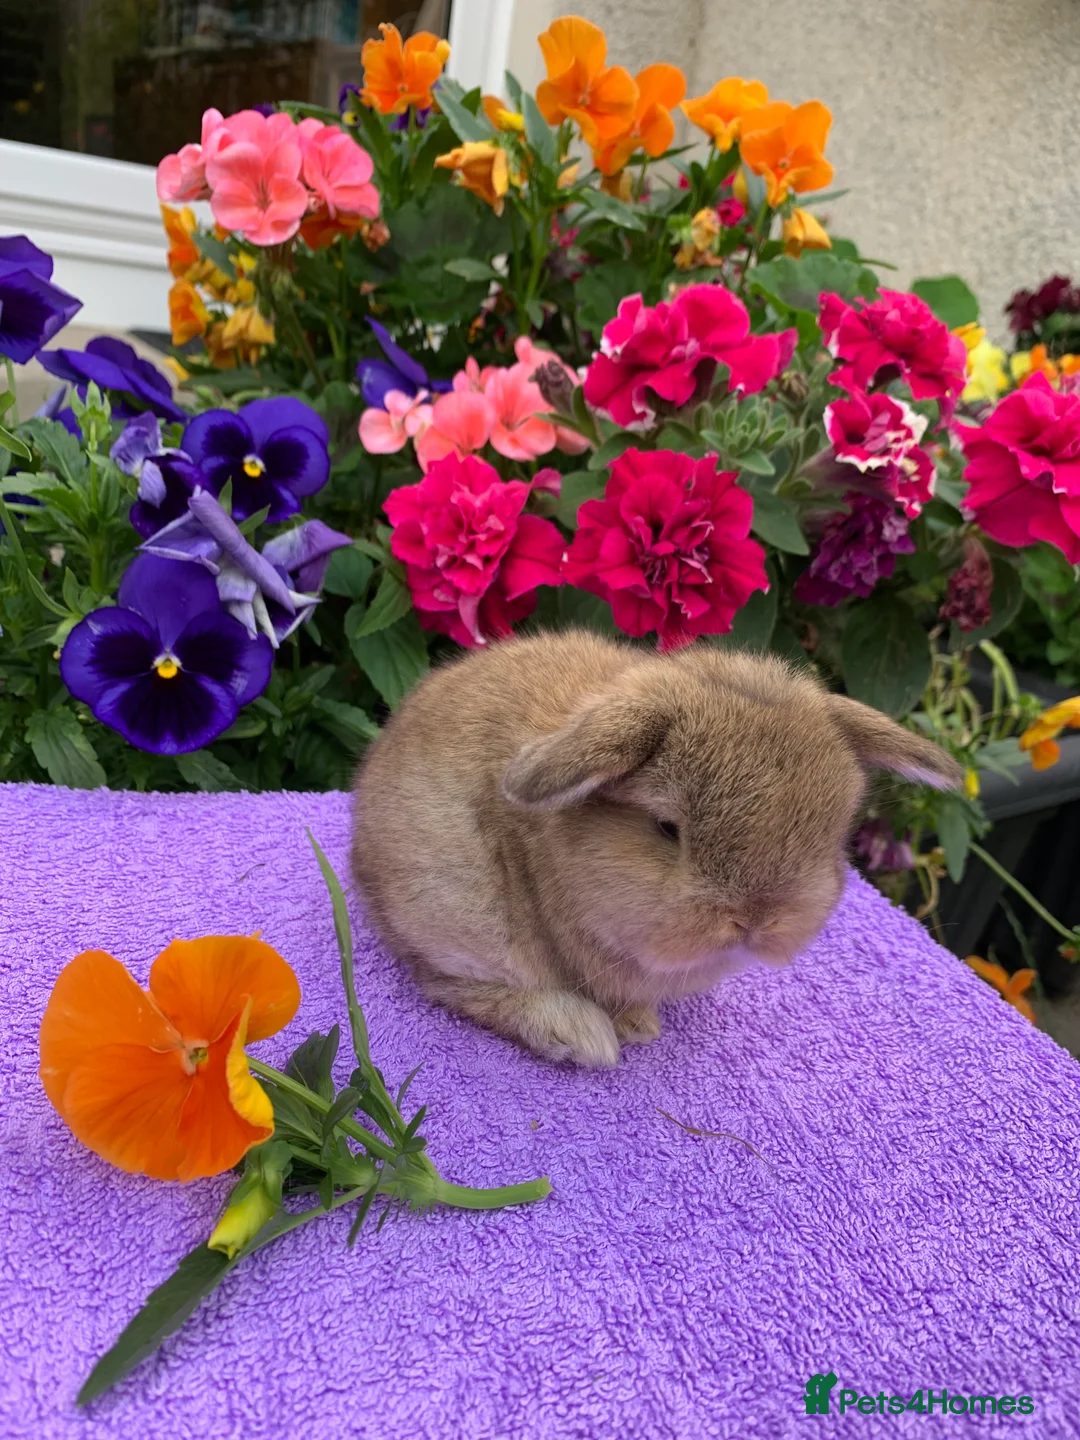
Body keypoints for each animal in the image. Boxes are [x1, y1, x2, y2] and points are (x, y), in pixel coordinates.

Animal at [351, 629, 963, 1067]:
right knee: (449, 985)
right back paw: (580, 1035)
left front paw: (641, 1023)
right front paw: (632, 1029)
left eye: (830, 834)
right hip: (453, 914)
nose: (756, 920)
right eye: (667, 828)